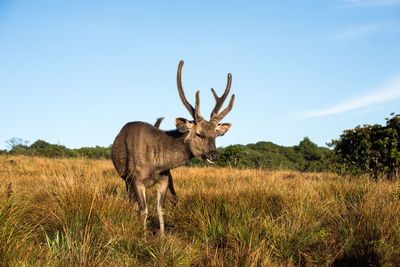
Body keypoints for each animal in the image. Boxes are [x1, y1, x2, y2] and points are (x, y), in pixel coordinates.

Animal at [110, 60, 234, 237]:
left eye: (216, 135)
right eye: (199, 134)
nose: (214, 155)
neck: (156, 164)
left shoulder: (165, 178)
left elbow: (160, 209)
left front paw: (162, 236)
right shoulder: (136, 179)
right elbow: (143, 210)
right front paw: (144, 236)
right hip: (125, 178)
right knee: (131, 203)